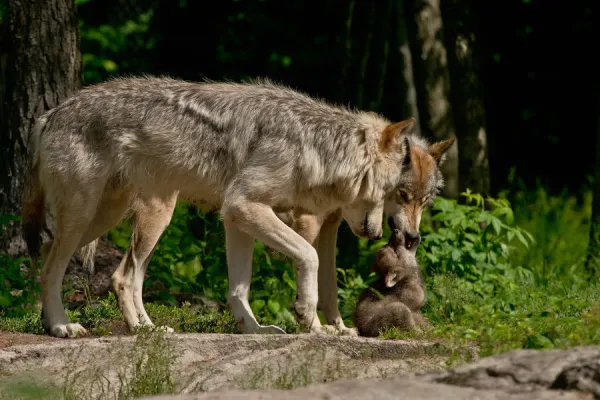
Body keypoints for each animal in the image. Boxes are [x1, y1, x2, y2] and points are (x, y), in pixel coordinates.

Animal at [22, 75, 418, 338]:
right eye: (395, 193)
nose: (377, 234)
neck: (312, 145)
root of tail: (50, 114)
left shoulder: (236, 219)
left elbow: (239, 287)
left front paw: (254, 329)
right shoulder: (244, 205)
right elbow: (309, 255)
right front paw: (308, 316)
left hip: (114, 219)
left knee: (90, 267)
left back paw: (139, 327)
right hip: (103, 218)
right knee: (72, 271)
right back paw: (65, 326)